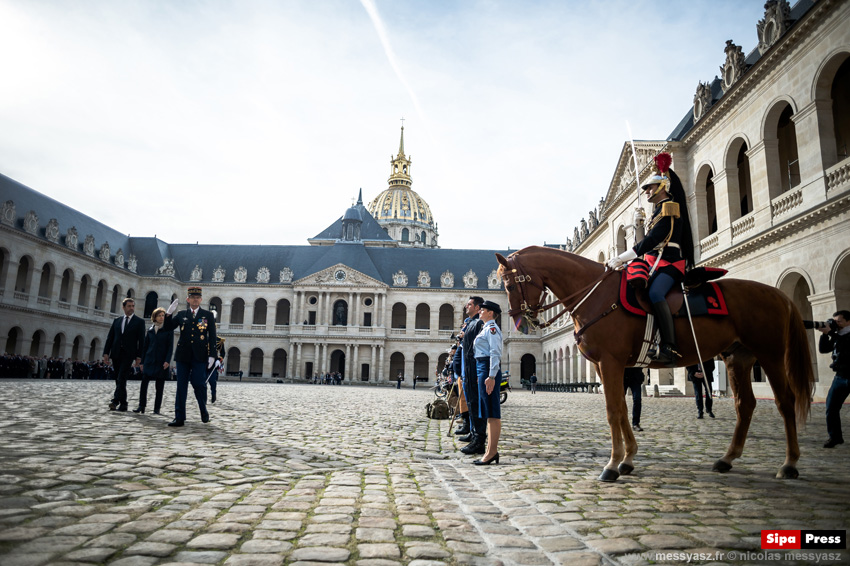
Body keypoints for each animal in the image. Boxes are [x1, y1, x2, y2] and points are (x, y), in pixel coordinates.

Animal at [494, 246, 812, 482]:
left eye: (509, 284)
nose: (522, 325)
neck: (596, 295)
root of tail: (777, 293)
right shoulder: (606, 366)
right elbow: (623, 410)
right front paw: (628, 459)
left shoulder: (610, 363)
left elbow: (613, 411)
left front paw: (612, 465)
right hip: (738, 357)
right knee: (745, 404)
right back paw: (727, 459)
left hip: (770, 354)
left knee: (785, 401)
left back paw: (789, 464)